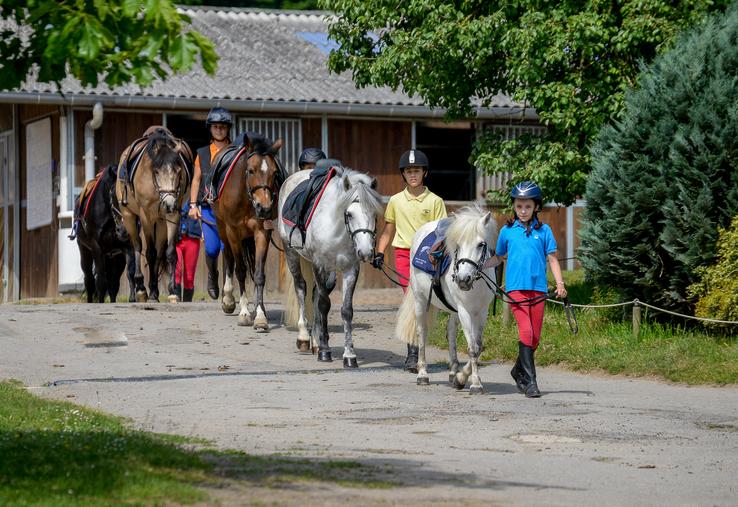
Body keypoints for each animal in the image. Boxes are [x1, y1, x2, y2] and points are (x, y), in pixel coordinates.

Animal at [74, 164, 135, 303]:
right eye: (114, 195)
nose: (124, 231)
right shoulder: (97, 249)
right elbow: (100, 281)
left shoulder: (126, 247)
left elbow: (130, 274)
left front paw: (133, 299)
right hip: (85, 251)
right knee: (89, 279)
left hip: (115, 256)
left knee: (113, 283)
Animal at [114, 126, 192, 302]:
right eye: (156, 172)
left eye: (178, 171)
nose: (169, 203)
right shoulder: (146, 216)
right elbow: (149, 253)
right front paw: (144, 291)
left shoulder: (172, 215)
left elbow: (170, 253)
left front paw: (172, 292)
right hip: (129, 216)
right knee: (137, 245)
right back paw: (141, 288)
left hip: (161, 221)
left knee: (158, 252)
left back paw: (154, 291)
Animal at [212, 133, 284, 330]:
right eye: (251, 170)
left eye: (274, 173)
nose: (264, 208)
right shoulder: (233, 232)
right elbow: (241, 270)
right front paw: (244, 313)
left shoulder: (262, 232)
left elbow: (258, 274)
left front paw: (260, 316)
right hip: (222, 229)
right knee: (229, 258)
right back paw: (228, 300)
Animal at [278, 162, 382, 366]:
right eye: (349, 214)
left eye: (374, 214)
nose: (366, 252)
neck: (337, 229)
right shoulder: (319, 264)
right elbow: (324, 304)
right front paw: (325, 352)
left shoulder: (351, 269)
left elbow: (346, 310)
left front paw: (349, 355)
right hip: (291, 252)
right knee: (301, 288)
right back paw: (304, 338)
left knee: (316, 293)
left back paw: (316, 342)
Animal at [395, 206, 499, 393]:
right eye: (457, 244)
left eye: (481, 244)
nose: (463, 279)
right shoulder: (465, 311)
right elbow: (472, 348)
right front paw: (475, 384)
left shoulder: (482, 312)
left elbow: (478, 346)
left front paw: (461, 378)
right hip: (420, 301)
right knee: (421, 332)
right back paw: (422, 374)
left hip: (454, 310)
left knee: (450, 332)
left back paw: (453, 371)